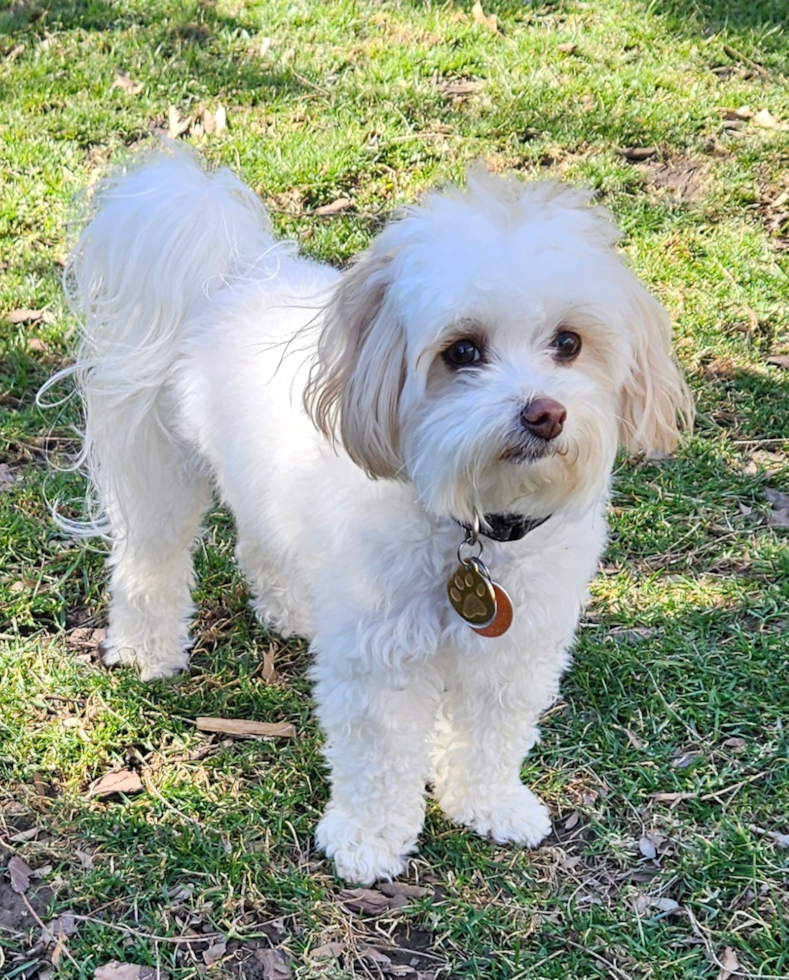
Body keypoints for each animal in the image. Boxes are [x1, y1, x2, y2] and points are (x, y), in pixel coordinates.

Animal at [57, 147, 688, 888]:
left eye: (568, 342)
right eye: (462, 351)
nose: (545, 412)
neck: (472, 522)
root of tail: (234, 270)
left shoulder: (518, 650)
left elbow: (493, 734)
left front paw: (490, 803)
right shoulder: (378, 657)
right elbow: (381, 755)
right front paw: (370, 838)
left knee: (259, 539)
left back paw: (288, 607)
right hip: (162, 472)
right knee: (151, 559)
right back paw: (147, 649)